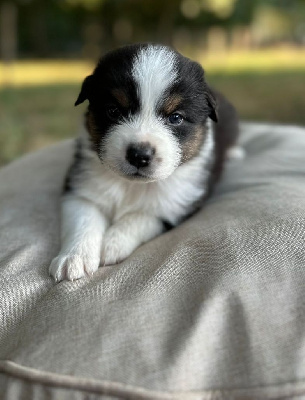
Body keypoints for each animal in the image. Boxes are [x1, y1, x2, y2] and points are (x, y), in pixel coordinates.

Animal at [50, 43, 239, 282]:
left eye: (176, 118)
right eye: (113, 111)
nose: (139, 155)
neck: (132, 186)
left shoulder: (177, 205)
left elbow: (139, 217)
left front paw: (112, 244)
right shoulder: (80, 187)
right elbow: (83, 219)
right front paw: (74, 259)